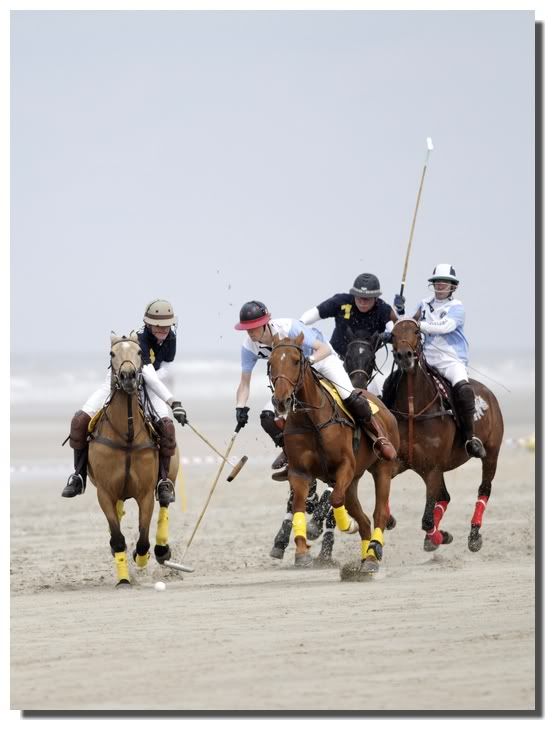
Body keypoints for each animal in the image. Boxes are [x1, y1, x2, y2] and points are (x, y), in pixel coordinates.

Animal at [88, 332, 180, 584]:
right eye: (112, 353)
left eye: (139, 352)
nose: (128, 376)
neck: (126, 437)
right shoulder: (104, 493)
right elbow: (118, 536)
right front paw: (123, 580)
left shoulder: (146, 494)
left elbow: (143, 538)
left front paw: (142, 559)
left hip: (171, 476)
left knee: (165, 504)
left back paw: (161, 550)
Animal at [268, 332, 400, 576]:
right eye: (271, 362)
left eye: (296, 361)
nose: (281, 400)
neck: (312, 420)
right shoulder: (299, 472)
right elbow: (298, 506)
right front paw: (302, 552)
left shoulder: (345, 465)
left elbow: (335, 499)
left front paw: (347, 525)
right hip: (353, 481)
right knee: (365, 519)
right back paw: (365, 558)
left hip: (382, 469)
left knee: (378, 514)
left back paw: (373, 554)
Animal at [344, 320, 504, 552]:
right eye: (393, 334)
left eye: (417, 331)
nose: (405, 355)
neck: (413, 409)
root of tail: (487, 393)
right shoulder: (401, 462)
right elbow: (393, 508)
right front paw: (433, 534)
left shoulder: (432, 467)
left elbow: (426, 520)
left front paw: (437, 537)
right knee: (445, 496)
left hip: (491, 453)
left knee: (484, 488)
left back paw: (474, 535)